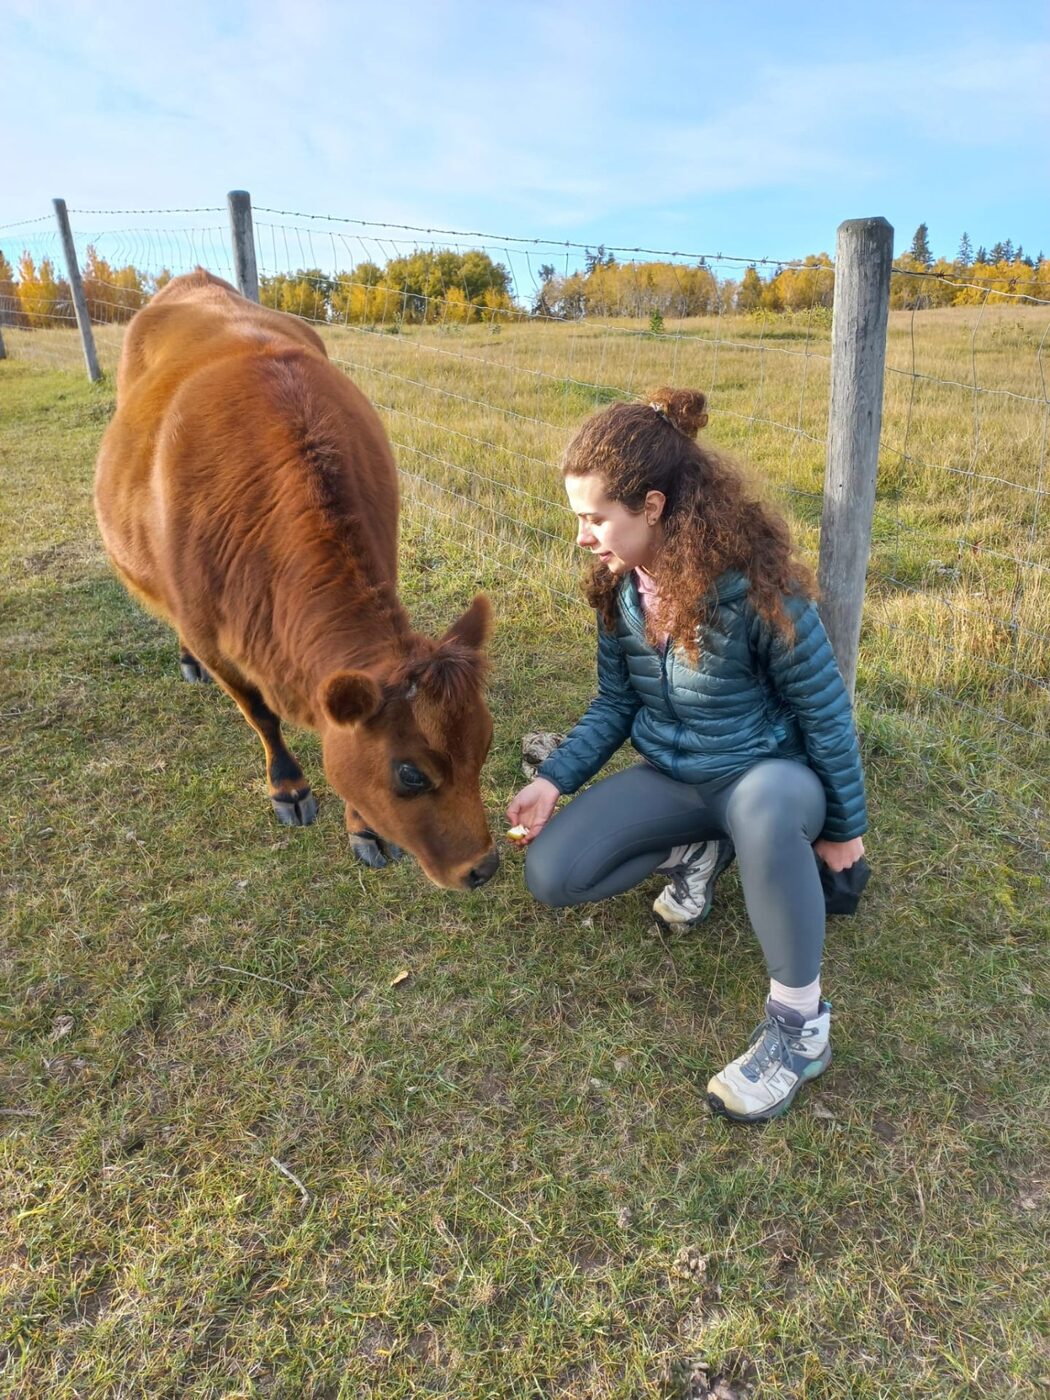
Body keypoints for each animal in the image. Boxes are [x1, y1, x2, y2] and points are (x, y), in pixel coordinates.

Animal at [94, 268, 499, 891]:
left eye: (487, 741)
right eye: (410, 773)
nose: (484, 867)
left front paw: (364, 828)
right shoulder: (215, 637)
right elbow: (260, 714)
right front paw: (288, 787)